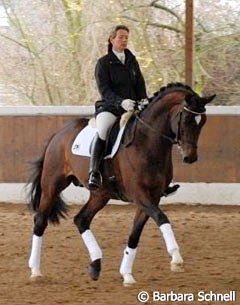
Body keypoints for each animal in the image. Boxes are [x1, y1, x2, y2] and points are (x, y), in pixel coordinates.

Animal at [27, 81, 216, 284]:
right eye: (187, 119)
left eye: (203, 121)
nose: (190, 158)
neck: (146, 143)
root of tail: (58, 134)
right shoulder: (140, 195)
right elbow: (162, 218)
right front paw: (176, 258)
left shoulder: (152, 198)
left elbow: (135, 234)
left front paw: (126, 274)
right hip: (52, 185)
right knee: (40, 221)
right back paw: (35, 270)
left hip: (100, 194)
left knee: (81, 220)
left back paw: (95, 265)